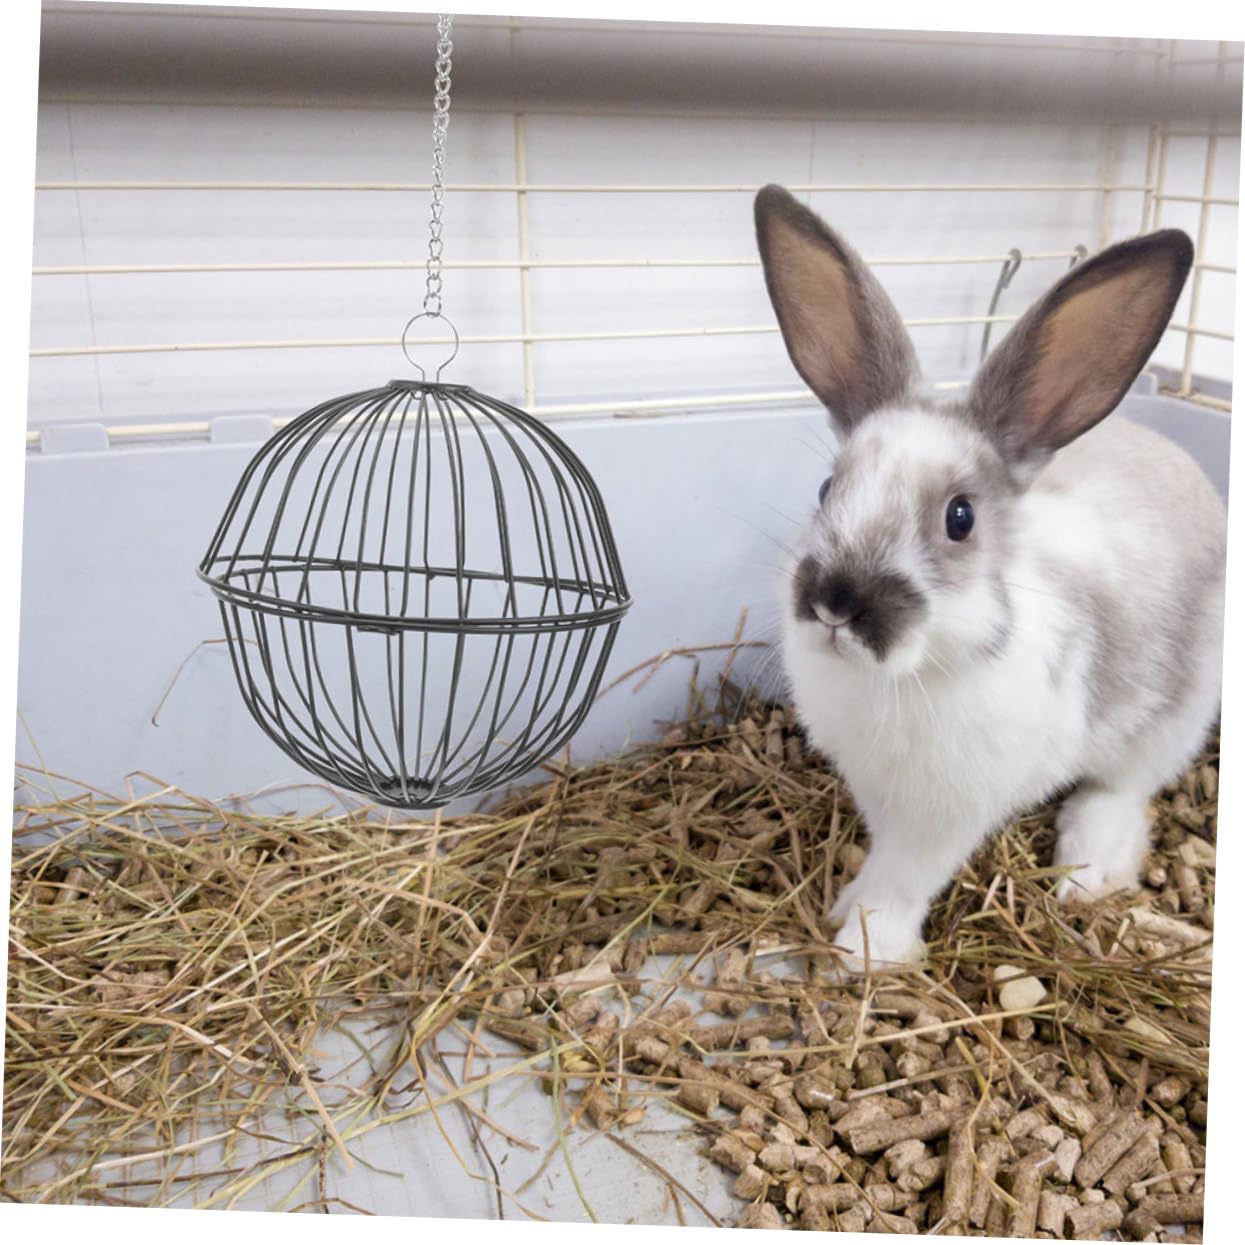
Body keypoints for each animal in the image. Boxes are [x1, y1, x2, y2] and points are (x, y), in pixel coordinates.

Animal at [754, 183, 1226, 973]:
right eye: (826, 489)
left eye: (960, 517)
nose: (836, 602)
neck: (908, 674)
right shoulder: (880, 796)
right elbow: (881, 860)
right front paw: (847, 909)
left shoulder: (946, 816)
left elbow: (906, 876)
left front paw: (867, 948)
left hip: (1173, 717)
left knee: (1125, 788)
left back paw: (1088, 865)